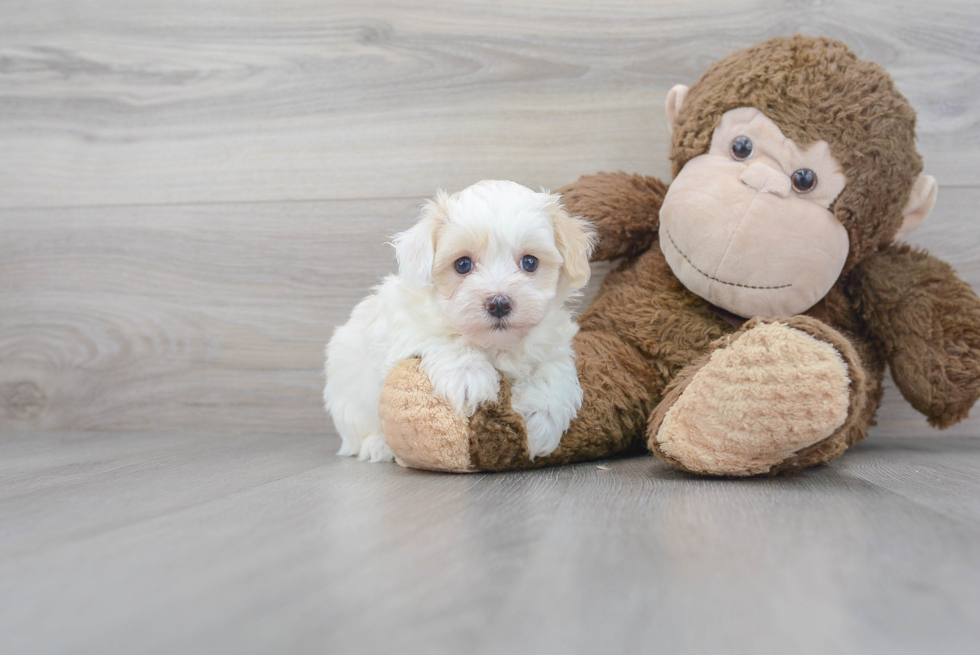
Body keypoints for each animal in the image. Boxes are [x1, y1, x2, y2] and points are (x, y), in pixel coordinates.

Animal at [326, 179, 592, 464]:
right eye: (462, 264)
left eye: (530, 262)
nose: (499, 303)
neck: (496, 344)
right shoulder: (407, 325)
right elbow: (446, 339)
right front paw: (469, 377)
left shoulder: (553, 344)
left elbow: (553, 371)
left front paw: (541, 417)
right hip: (346, 390)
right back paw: (377, 445)